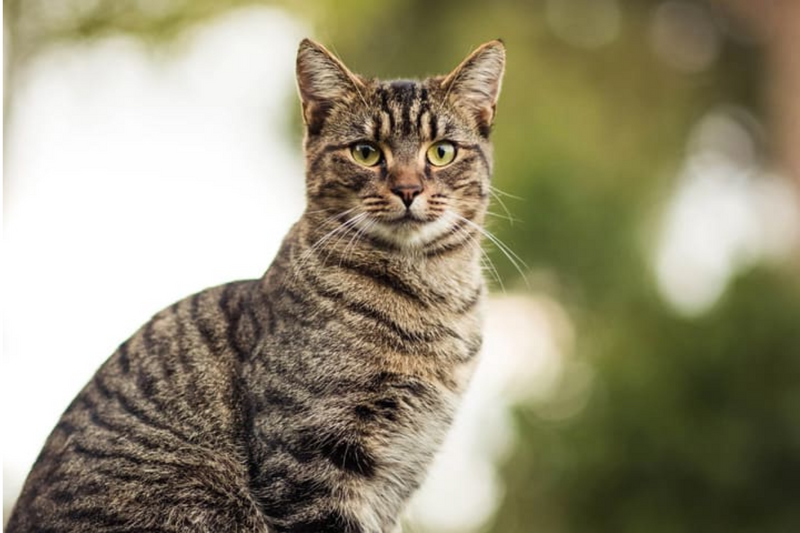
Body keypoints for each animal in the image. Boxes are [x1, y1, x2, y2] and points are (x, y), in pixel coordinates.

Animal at [6, 38, 504, 532]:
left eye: (441, 151)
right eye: (365, 151)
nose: (407, 189)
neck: (430, 294)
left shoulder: (405, 464)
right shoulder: (309, 457)